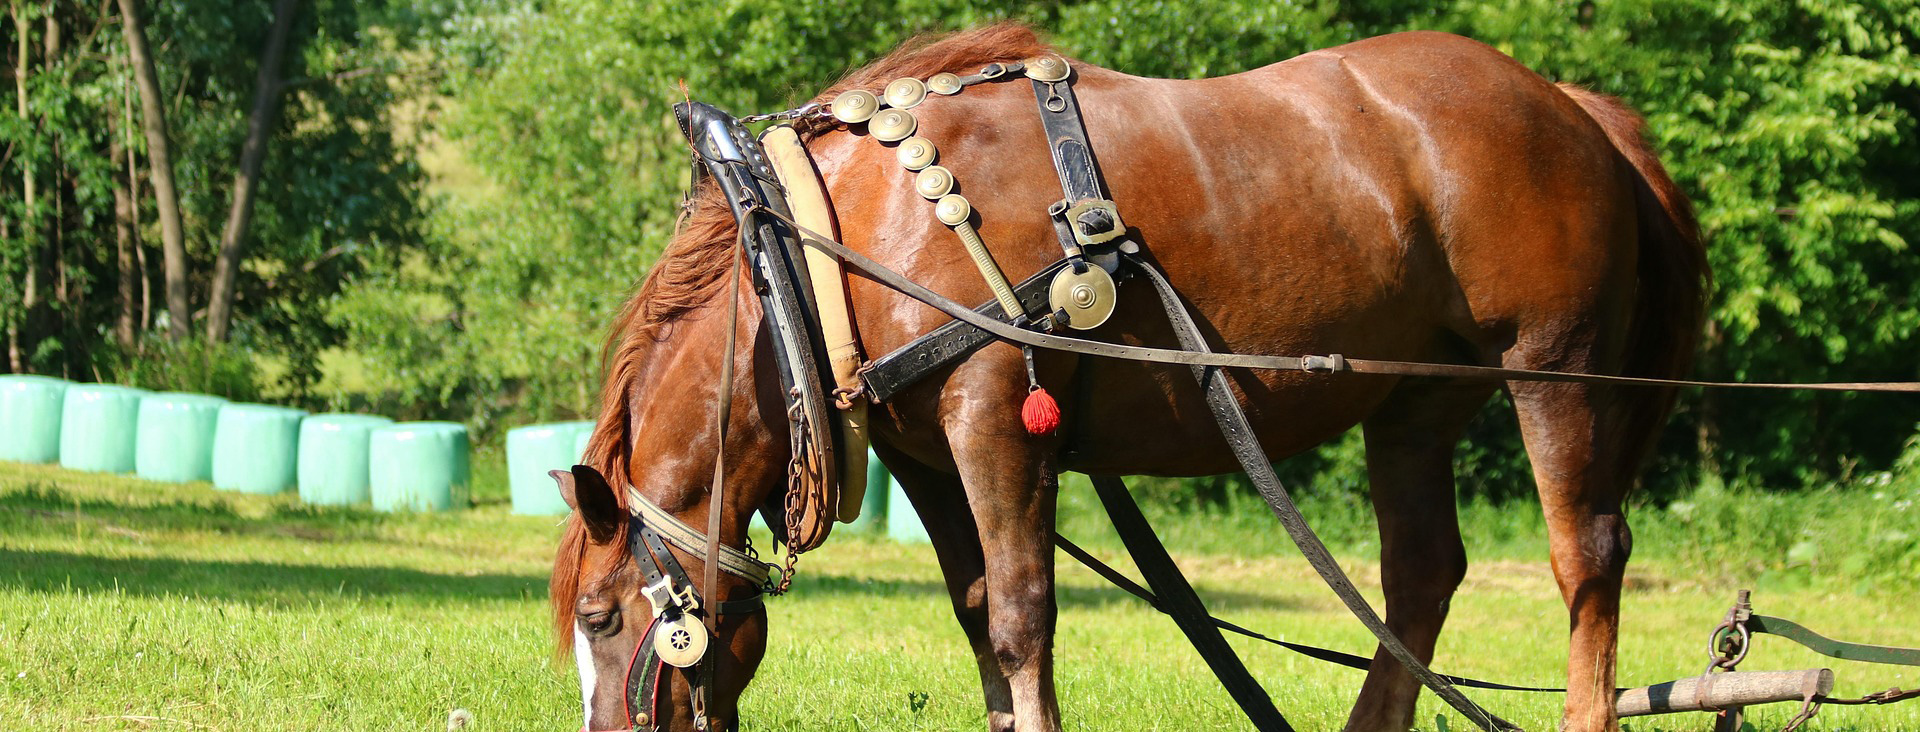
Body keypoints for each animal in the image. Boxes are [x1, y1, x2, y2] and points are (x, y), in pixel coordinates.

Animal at [549, 22, 1706, 732]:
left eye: (601, 619)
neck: (821, 254)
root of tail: (1573, 106)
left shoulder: (994, 418)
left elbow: (1021, 613)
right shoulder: (926, 458)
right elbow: (976, 607)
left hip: (1552, 365)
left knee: (1587, 556)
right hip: (1416, 399)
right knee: (1421, 574)